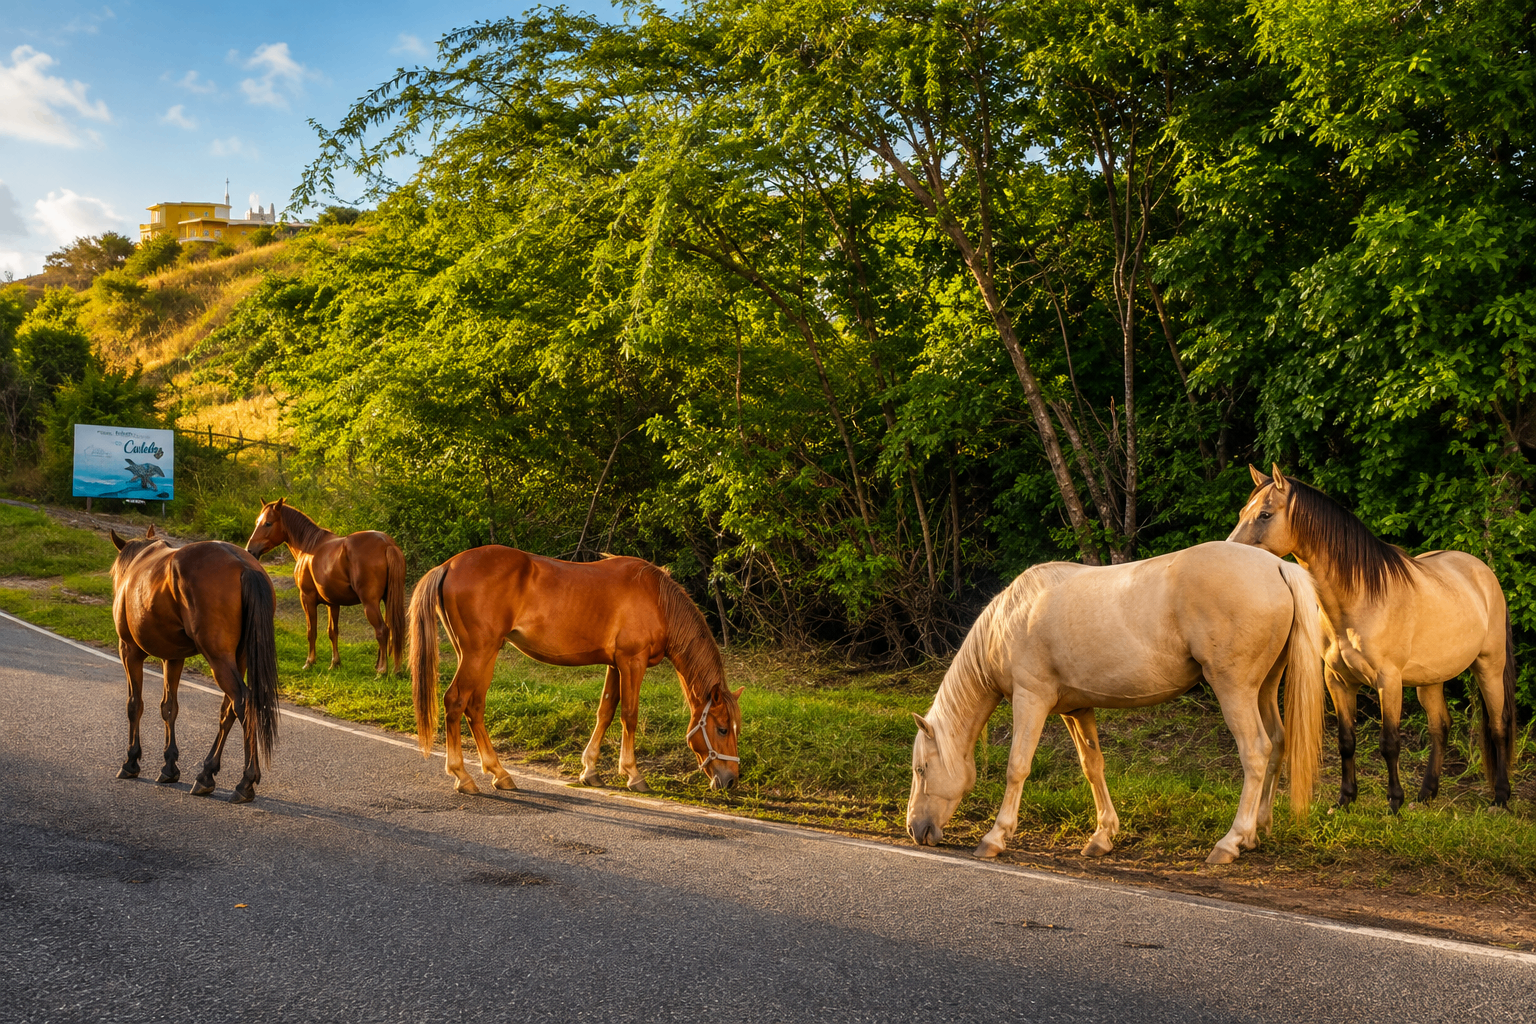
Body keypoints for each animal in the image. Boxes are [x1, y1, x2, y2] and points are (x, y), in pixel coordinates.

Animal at [110, 525, 279, 803]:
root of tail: (245, 566)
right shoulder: (173, 658)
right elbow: (169, 707)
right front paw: (169, 767)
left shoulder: (129, 652)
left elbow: (134, 705)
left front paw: (131, 762)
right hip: (239, 658)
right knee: (229, 710)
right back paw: (206, 774)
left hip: (218, 659)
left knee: (243, 703)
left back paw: (245, 782)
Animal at [245, 498, 406, 676]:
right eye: (257, 522)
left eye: (267, 523)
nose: (250, 550)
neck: (309, 547)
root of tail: (387, 544)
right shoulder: (333, 603)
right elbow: (332, 632)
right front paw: (335, 663)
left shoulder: (307, 598)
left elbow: (311, 631)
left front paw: (309, 662)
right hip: (388, 600)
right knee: (393, 630)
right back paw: (394, 669)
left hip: (370, 603)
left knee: (382, 630)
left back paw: (382, 671)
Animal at [409, 547, 743, 794]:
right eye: (722, 729)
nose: (731, 780)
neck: (657, 601)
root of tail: (449, 565)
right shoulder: (632, 662)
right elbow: (629, 715)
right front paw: (633, 775)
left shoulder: (615, 664)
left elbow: (606, 712)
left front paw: (590, 770)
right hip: (479, 654)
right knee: (455, 701)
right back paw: (462, 776)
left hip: (481, 655)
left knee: (474, 707)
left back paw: (499, 773)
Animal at [906, 541, 1324, 866]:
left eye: (922, 769)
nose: (914, 829)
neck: (1011, 618)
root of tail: (1277, 565)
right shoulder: (1075, 710)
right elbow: (1093, 766)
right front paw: (1102, 836)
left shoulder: (1031, 699)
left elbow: (1017, 767)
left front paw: (995, 836)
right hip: (1264, 688)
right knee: (1278, 743)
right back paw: (1257, 831)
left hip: (1234, 689)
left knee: (1256, 751)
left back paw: (1231, 841)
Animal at [1229, 464, 1518, 811]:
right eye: (1243, 512)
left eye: (1265, 514)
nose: (1229, 553)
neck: (1361, 599)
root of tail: (1483, 573)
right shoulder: (1338, 681)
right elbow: (1346, 741)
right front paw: (1345, 799)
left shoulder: (1388, 681)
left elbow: (1389, 742)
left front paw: (1394, 802)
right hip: (1430, 679)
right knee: (1440, 726)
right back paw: (1426, 794)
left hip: (1489, 667)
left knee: (1498, 726)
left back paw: (1500, 798)